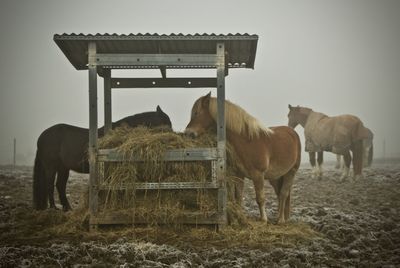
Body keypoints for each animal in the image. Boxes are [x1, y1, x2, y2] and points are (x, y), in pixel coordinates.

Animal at [32, 105, 172, 210]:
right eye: (166, 123)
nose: (173, 134)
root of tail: (41, 136)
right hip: (51, 167)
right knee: (50, 184)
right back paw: (54, 208)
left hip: (63, 168)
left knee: (60, 185)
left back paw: (67, 208)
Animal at [184, 92, 300, 224]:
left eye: (197, 113)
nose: (187, 133)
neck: (247, 141)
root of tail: (292, 133)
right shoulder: (239, 174)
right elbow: (238, 197)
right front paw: (239, 218)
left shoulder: (258, 175)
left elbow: (260, 198)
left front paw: (263, 219)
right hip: (275, 176)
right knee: (279, 193)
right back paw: (281, 217)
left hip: (291, 171)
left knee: (283, 194)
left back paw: (280, 220)